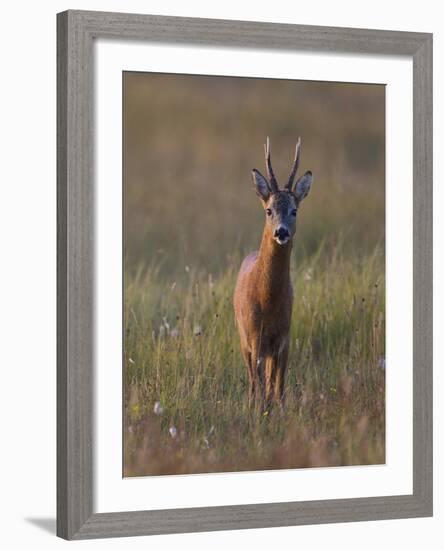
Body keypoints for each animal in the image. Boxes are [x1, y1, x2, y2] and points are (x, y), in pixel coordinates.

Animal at [232, 140, 312, 412]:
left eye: (295, 210)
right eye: (268, 210)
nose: (281, 232)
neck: (267, 300)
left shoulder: (284, 336)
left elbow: (279, 386)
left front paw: (280, 411)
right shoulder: (254, 335)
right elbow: (260, 386)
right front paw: (259, 411)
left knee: (268, 380)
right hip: (243, 338)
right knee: (253, 381)